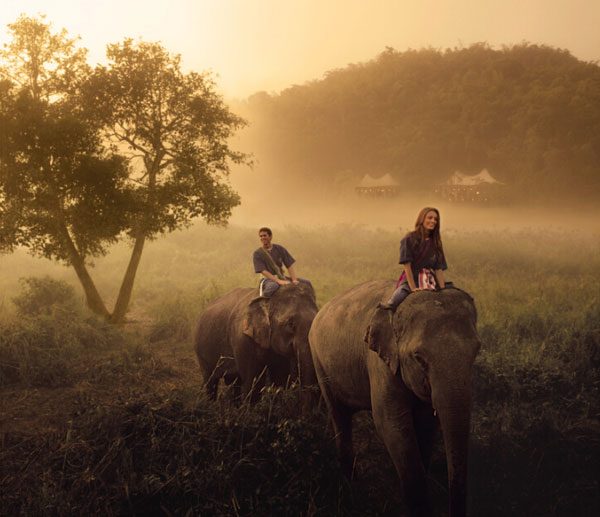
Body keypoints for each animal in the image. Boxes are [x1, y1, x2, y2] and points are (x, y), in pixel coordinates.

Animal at [308, 278, 480, 516]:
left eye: (477, 351)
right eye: (419, 358)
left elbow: (427, 424)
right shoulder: (380, 362)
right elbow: (391, 424)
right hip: (318, 361)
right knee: (338, 413)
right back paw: (351, 483)